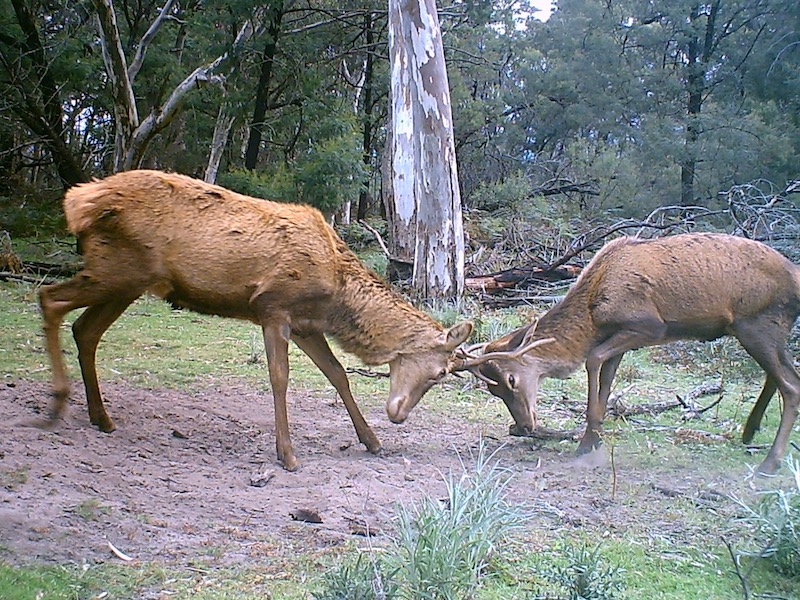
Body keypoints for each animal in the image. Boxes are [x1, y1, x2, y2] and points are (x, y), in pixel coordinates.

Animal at [39, 168, 476, 468]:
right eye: (441, 372)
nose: (398, 415)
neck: (338, 295)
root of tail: (77, 202)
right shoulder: (273, 307)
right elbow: (280, 377)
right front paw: (287, 454)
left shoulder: (306, 325)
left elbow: (338, 374)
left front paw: (371, 440)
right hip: (116, 271)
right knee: (49, 299)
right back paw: (58, 403)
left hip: (128, 281)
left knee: (85, 329)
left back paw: (101, 417)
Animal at [454, 233, 800, 474]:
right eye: (493, 391)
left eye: (511, 380)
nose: (524, 427)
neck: (594, 314)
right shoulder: (619, 337)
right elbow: (606, 379)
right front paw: (591, 439)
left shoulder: (647, 326)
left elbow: (593, 360)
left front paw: (588, 441)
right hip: (765, 330)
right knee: (781, 375)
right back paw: (750, 431)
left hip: (756, 323)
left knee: (790, 385)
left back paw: (769, 463)